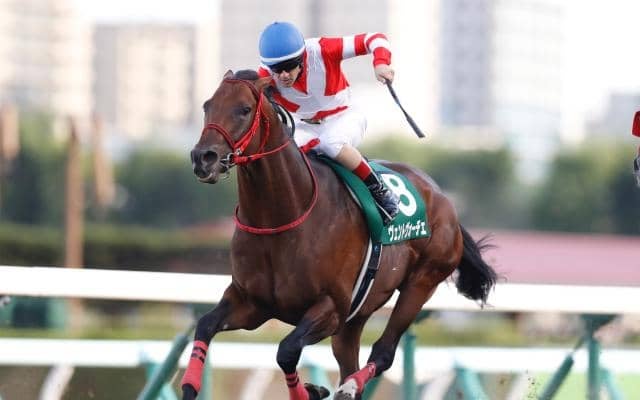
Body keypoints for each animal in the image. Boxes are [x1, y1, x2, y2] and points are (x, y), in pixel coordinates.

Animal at [183, 70, 497, 400]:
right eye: (207, 106)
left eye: (244, 109)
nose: (203, 157)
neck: (282, 217)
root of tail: (443, 198)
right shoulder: (251, 302)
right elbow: (205, 325)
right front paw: (190, 385)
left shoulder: (331, 307)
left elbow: (287, 350)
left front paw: (312, 390)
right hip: (355, 318)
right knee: (350, 356)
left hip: (422, 282)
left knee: (384, 352)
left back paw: (349, 386)